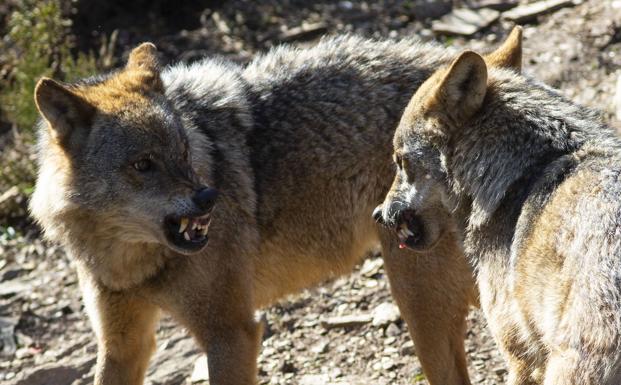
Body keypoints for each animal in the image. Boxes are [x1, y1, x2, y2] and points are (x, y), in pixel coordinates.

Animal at [30, 34, 494, 382]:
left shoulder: (231, 333)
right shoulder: (122, 345)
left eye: (184, 152)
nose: (209, 198)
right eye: (143, 165)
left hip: (419, 302)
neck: (132, 263)